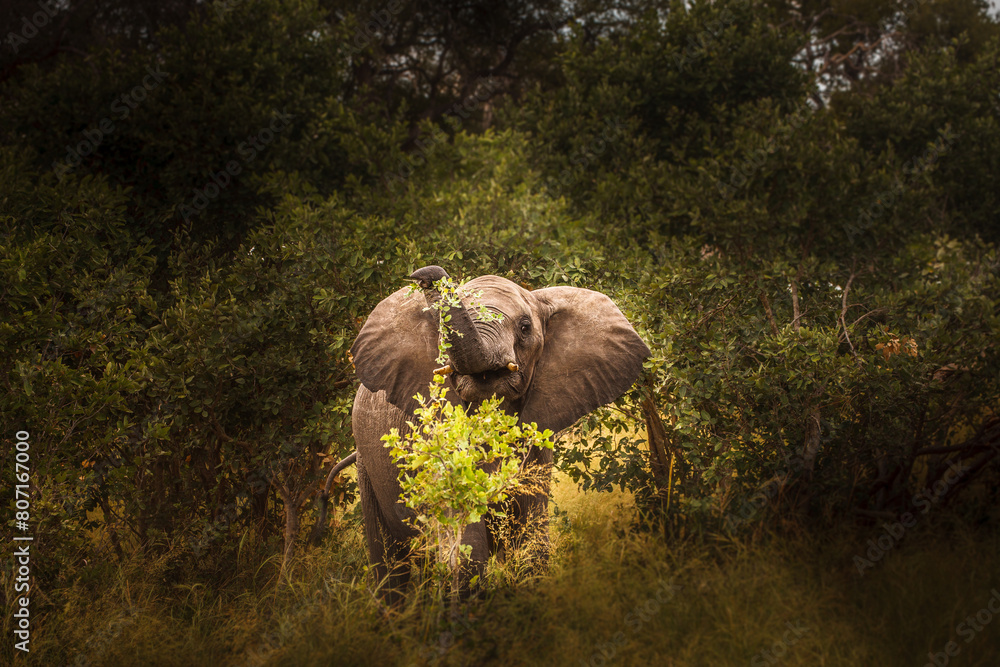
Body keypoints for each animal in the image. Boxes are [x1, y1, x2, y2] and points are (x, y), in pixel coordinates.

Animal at [342, 265, 649, 600]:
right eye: (442, 329)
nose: (423, 275)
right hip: (366, 461)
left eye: (525, 328)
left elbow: (532, 545)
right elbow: (466, 549)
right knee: (389, 563)